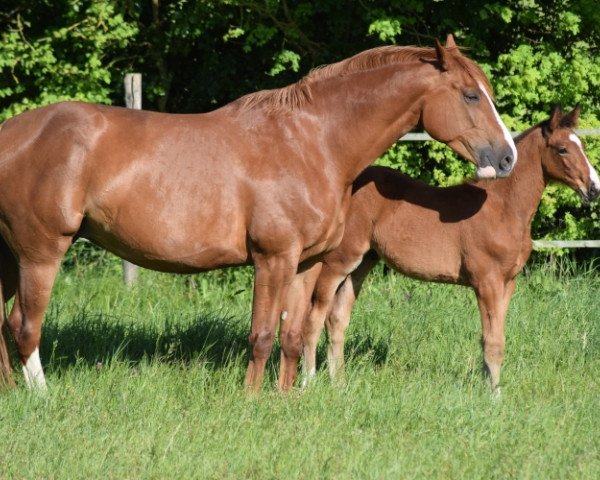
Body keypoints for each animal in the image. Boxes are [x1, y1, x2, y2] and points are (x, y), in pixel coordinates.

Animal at [304, 106, 600, 394]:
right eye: (562, 149)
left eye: (582, 144)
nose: (594, 188)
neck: (504, 209)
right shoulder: (487, 283)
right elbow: (493, 341)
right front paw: (494, 397)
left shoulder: (508, 283)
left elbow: (495, 337)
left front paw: (490, 387)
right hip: (338, 261)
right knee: (315, 317)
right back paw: (309, 382)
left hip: (363, 262)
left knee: (337, 318)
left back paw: (339, 384)